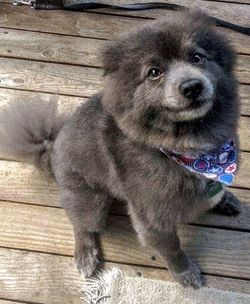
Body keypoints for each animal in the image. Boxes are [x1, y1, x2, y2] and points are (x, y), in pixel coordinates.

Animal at [0, 11, 242, 288]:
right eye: (154, 73)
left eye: (197, 57)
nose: (192, 86)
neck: (193, 149)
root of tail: (52, 151)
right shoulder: (151, 218)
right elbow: (171, 248)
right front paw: (185, 272)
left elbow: (216, 191)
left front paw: (224, 199)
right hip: (90, 200)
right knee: (80, 224)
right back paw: (85, 253)